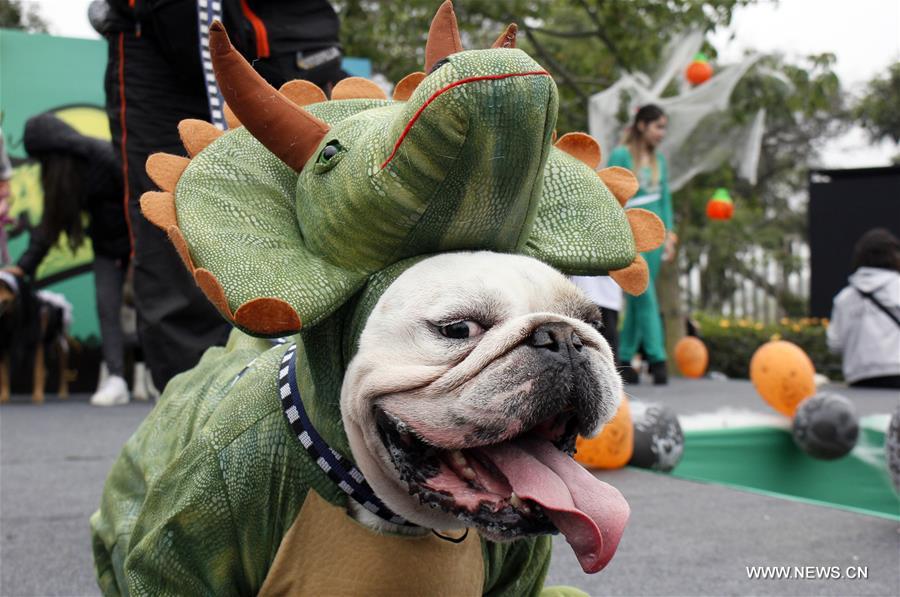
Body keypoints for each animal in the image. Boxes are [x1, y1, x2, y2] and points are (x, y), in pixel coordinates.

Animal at [0, 272, 71, 402]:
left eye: (3, 287)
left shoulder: (36, 342)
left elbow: (37, 371)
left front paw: (38, 396)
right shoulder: (2, 345)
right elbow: (3, 374)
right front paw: (4, 396)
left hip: (61, 343)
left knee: (62, 369)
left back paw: (63, 393)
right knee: (45, 370)